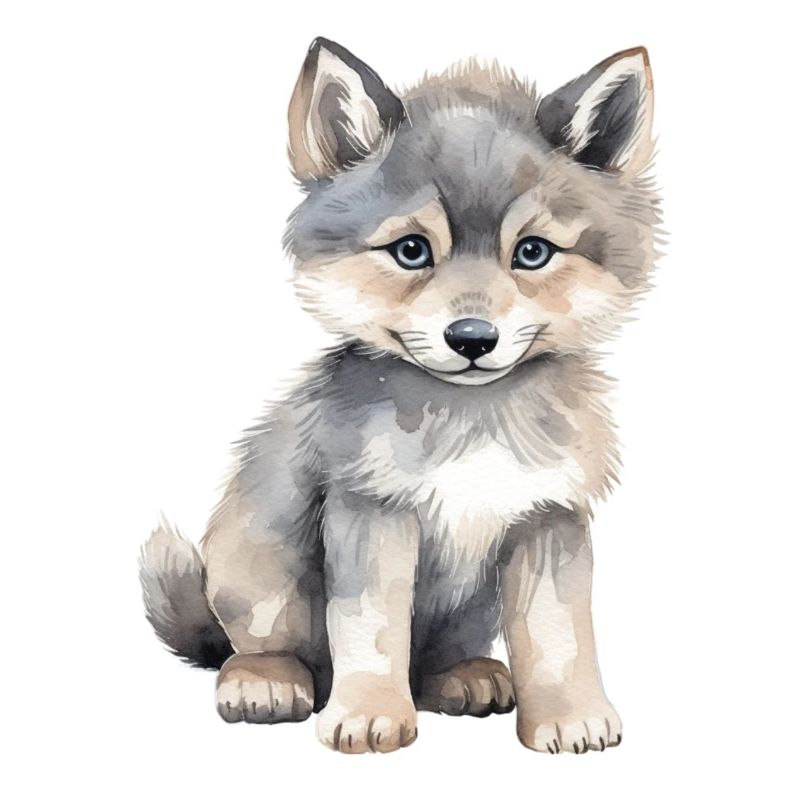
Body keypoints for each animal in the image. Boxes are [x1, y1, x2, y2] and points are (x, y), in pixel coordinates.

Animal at [140, 38, 659, 754]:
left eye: (532, 253)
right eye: (412, 251)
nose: (472, 338)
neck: (473, 420)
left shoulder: (548, 516)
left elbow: (559, 636)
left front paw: (568, 717)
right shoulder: (371, 511)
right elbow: (372, 629)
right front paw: (368, 715)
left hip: (472, 607)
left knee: (434, 659)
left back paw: (465, 677)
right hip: (261, 569)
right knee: (252, 646)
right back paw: (265, 682)